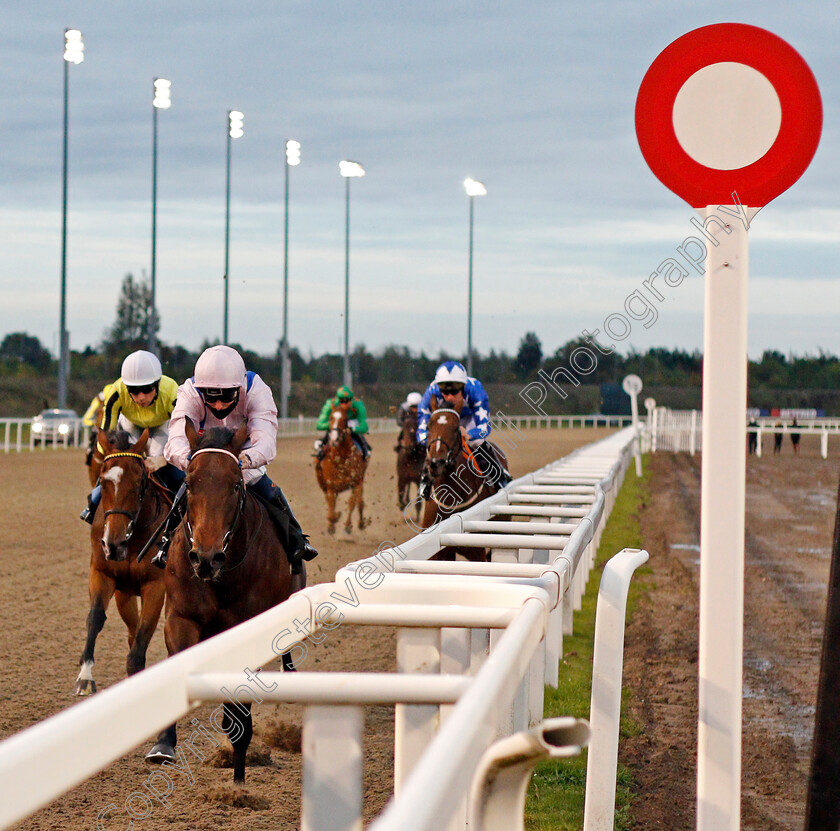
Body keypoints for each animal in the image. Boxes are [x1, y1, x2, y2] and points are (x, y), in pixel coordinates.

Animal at [73, 428, 169, 696]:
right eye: (103, 482)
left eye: (138, 484)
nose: (113, 544)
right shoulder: (105, 575)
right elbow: (96, 618)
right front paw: (85, 676)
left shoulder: (156, 585)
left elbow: (143, 634)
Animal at [148, 426, 298, 784]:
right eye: (190, 482)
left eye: (235, 484)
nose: (206, 557)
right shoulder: (181, 618)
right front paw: (164, 744)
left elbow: (239, 709)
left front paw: (239, 778)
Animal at [314, 406, 370, 536]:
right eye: (330, 417)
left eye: (345, 419)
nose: (334, 438)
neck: (341, 459)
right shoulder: (330, 486)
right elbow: (331, 509)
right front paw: (333, 523)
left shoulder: (356, 482)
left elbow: (356, 503)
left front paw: (353, 525)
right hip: (322, 482)